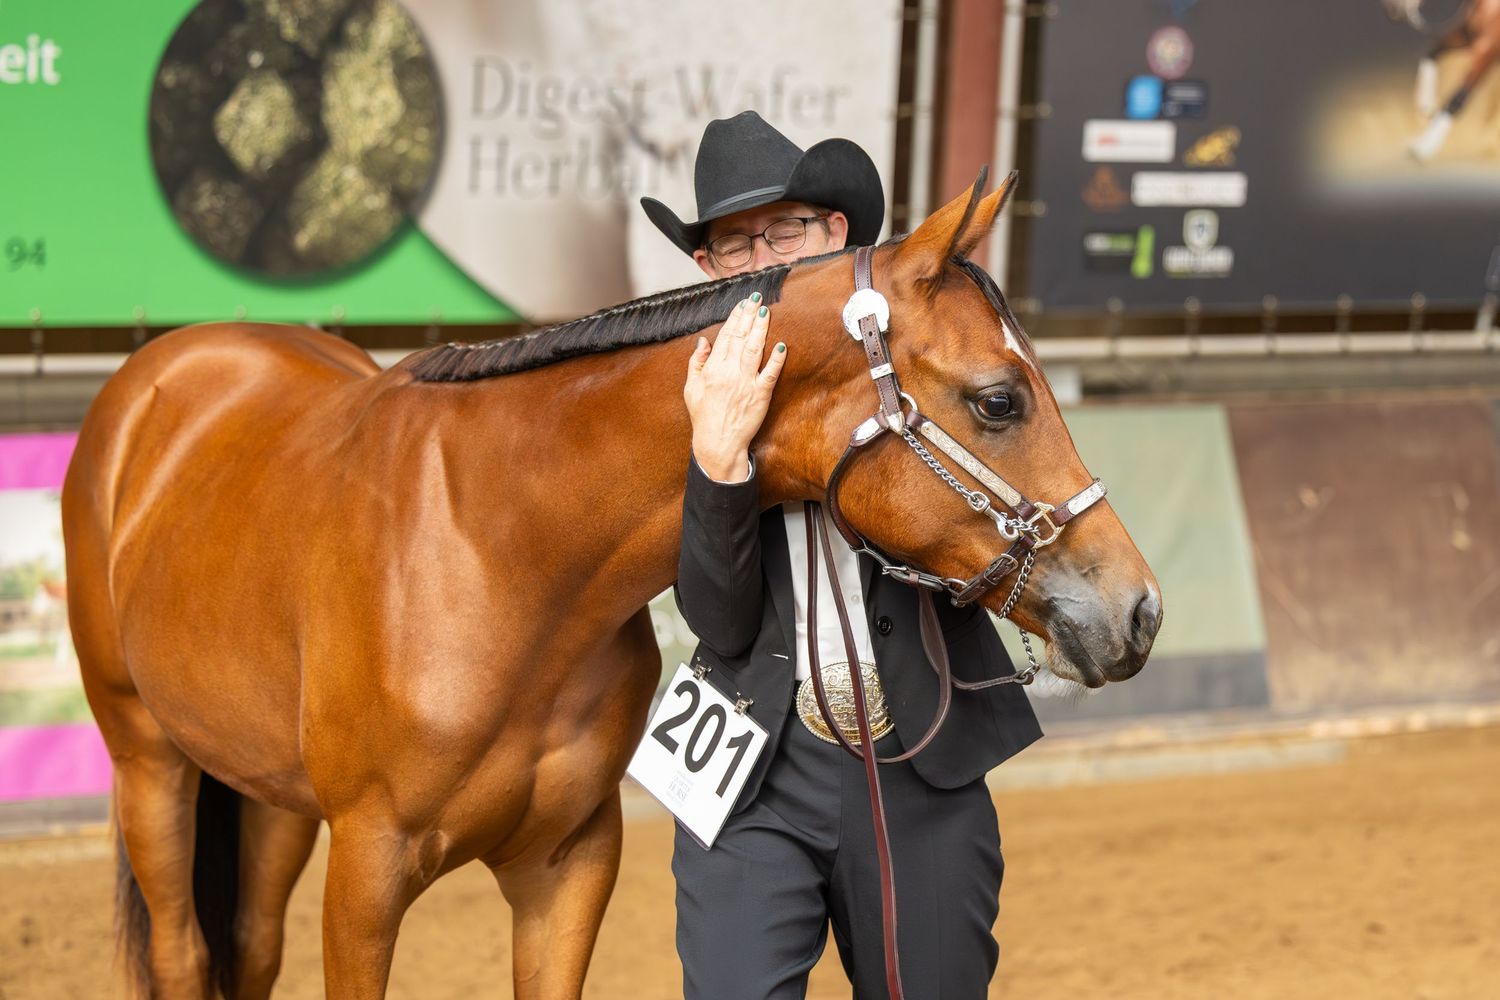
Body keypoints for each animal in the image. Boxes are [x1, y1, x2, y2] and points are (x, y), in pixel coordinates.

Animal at [61, 169, 1162, 999]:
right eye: (1000, 399)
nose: (1139, 609)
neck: (503, 552)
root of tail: (164, 369)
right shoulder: (367, 872)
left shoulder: (570, 865)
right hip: (149, 758)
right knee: (183, 951)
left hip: (269, 796)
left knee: (247, 947)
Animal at [1386, 0, 1500, 160]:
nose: (1392, 9)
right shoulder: (1469, 37)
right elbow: (1432, 51)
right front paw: (1426, 103)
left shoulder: (1487, 48)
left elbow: (1457, 99)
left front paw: (1425, 146)